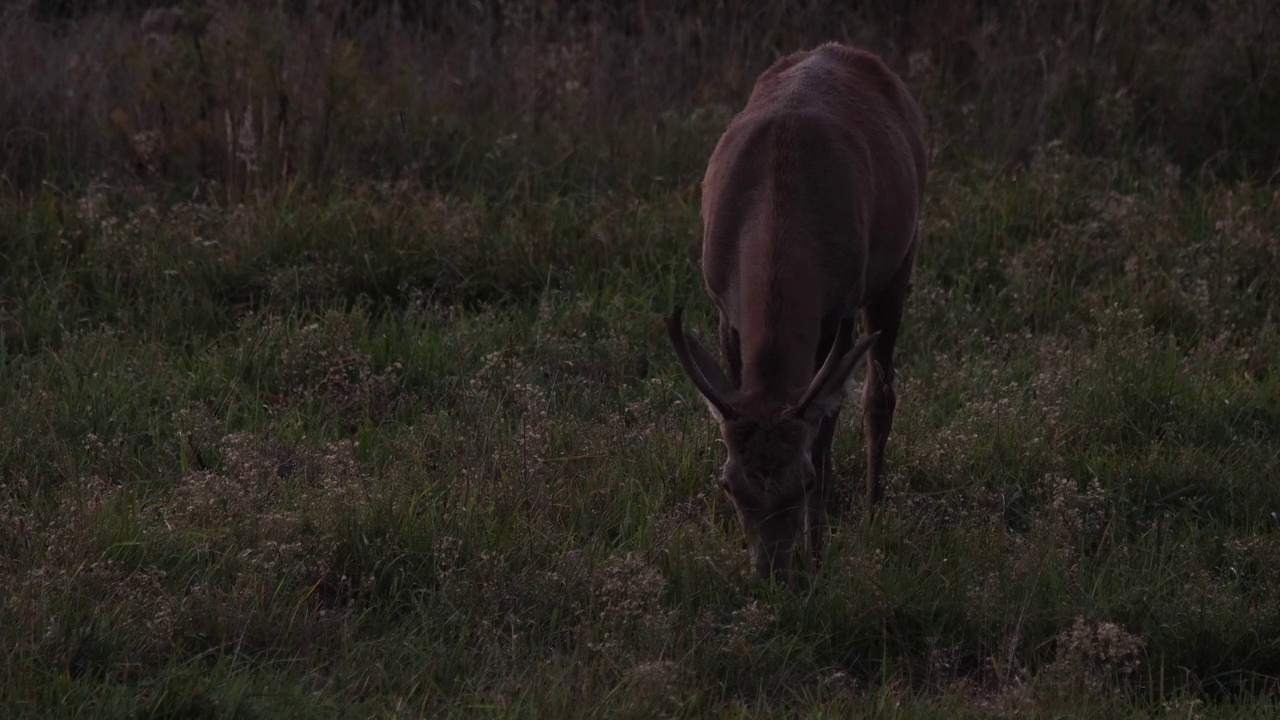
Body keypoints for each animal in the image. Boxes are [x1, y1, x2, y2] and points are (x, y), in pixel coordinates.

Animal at [665, 43, 926, 584]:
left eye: (802, 484)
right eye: (728, 484)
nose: (773, 574)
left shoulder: (840, 306)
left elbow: (825, 442)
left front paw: (819, 553)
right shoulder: (723, 305)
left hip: (900, 261)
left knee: (879, 395)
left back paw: (873, 513)